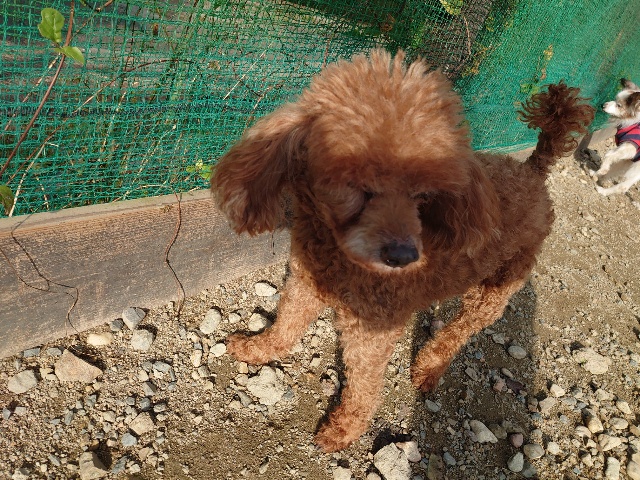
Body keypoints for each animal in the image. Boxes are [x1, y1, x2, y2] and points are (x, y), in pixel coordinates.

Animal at [211, 49, 594, 452]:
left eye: (422, 195)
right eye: (358, 186)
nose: (403, 256)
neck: (338, 255)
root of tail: (533, 172)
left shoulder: (372, 329)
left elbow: (364, 386)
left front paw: (344, 430)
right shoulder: (305, 282)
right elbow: (286, 323)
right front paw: (258, 348)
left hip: (496, 288)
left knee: (460, 331)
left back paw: (428, 368)